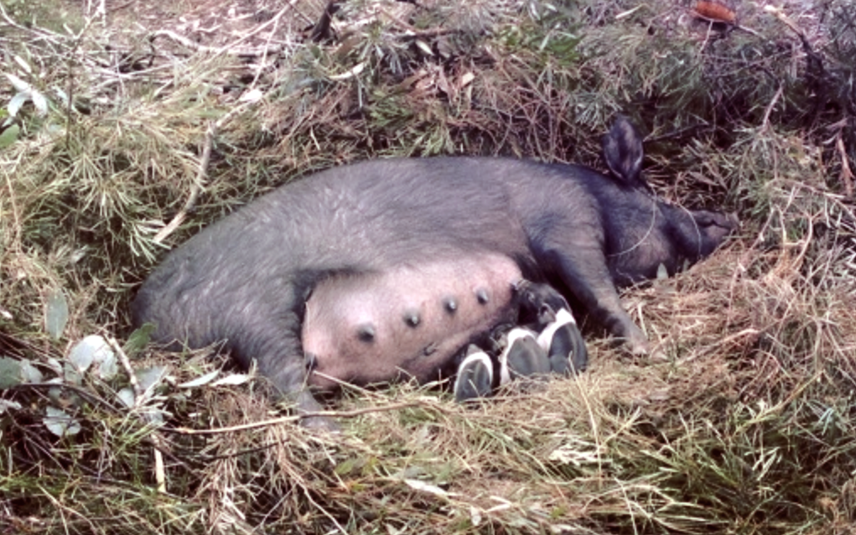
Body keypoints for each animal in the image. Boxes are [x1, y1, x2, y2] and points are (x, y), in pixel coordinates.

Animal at [129, 117, 736, 428]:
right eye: (686, 212)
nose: (726, 218)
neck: (600, 198)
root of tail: (147, 315)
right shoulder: (566, 222)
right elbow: (599, 291)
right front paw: (645, 347)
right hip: (254, 305)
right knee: (284, 381)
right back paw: (338, 432)